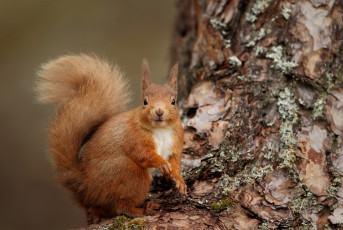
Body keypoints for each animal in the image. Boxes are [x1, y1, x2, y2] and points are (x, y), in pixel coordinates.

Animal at [36, 54, 187, 224]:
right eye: (145, 101)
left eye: (173, 101)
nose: (159, 111)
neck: (161, 129)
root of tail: (85, 187)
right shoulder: (132, 136)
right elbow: (143, 153)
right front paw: (162, 164)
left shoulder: (176, 141)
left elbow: (175, 162)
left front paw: (179, 180)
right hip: (130, 173)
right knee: (121, 205)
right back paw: (143, 210)